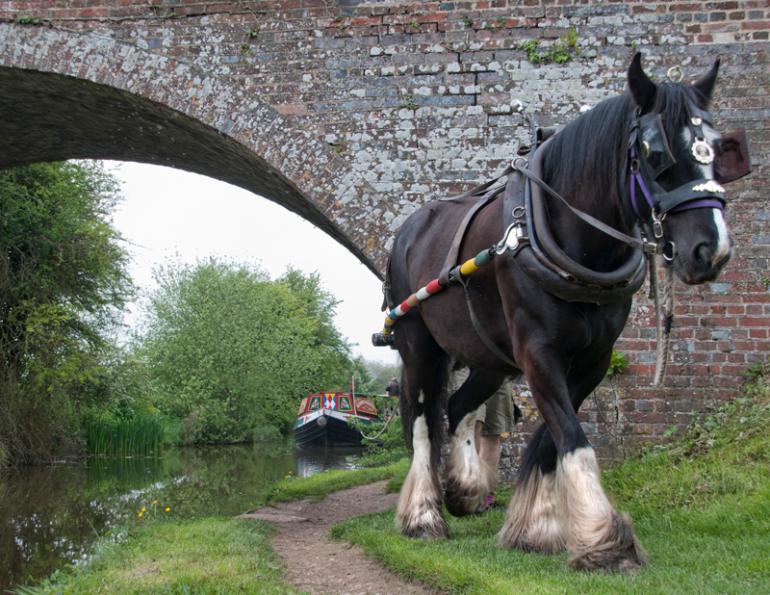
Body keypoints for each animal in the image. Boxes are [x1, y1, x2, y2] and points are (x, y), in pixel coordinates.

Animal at [383, 53, 750, 572]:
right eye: (655, 151)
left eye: (718, 149)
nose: (711, 250)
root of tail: (410, 229)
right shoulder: (539, 352)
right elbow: (573, 438)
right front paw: (604, 541)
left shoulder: (593, 359)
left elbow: (551, 439)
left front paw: (537, 527)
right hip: (417, 343)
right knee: (420, 421)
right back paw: (422, 516)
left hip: (489, 358)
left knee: (457, 409)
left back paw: (464, 489)